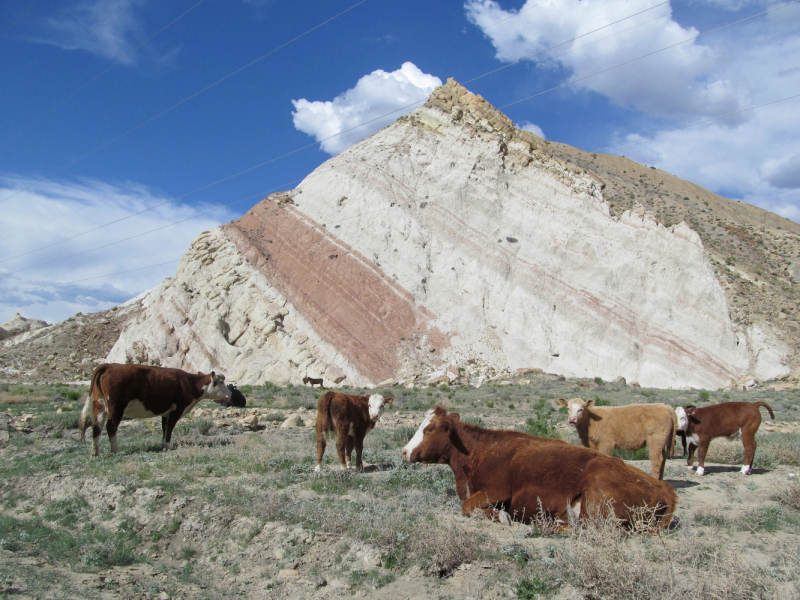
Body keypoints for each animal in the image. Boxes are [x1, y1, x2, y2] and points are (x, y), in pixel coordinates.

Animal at [79, 364, 230, 458]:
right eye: (221, 382)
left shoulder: (166, 411)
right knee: (111, 426)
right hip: (116, 407)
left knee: (96, 425)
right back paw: (116, 450)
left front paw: (163, 444)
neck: (189, 383)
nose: (230, 394)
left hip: (99, 405)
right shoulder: (177, 409)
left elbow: (164, 427)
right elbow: (170, 427)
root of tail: (109, 365)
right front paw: (168, 444)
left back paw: (95, 452)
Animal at [400, 408, 676, 528]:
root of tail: (664, 488)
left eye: (429, 428)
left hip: (596, 499)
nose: (403, 451)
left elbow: (467, 506)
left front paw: (501, 516)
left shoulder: (497, 490)